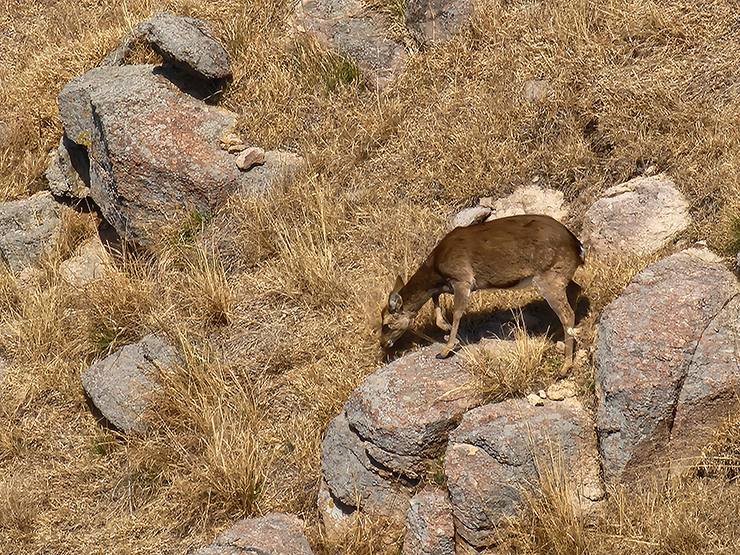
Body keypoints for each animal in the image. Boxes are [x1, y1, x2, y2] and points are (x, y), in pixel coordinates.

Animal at [382, 213, 584, 374]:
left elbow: (456, 313)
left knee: (567, 313)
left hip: (549, 276)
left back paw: (565, 366)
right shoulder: (447, 284)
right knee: (576, 290)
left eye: (386, 324)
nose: (383, 344)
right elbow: (435, 298)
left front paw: (445, 350)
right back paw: (558, 334)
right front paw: (443, 325)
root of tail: (577, 246)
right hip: (559, 275)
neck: (437, 266)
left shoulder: (462, 278)